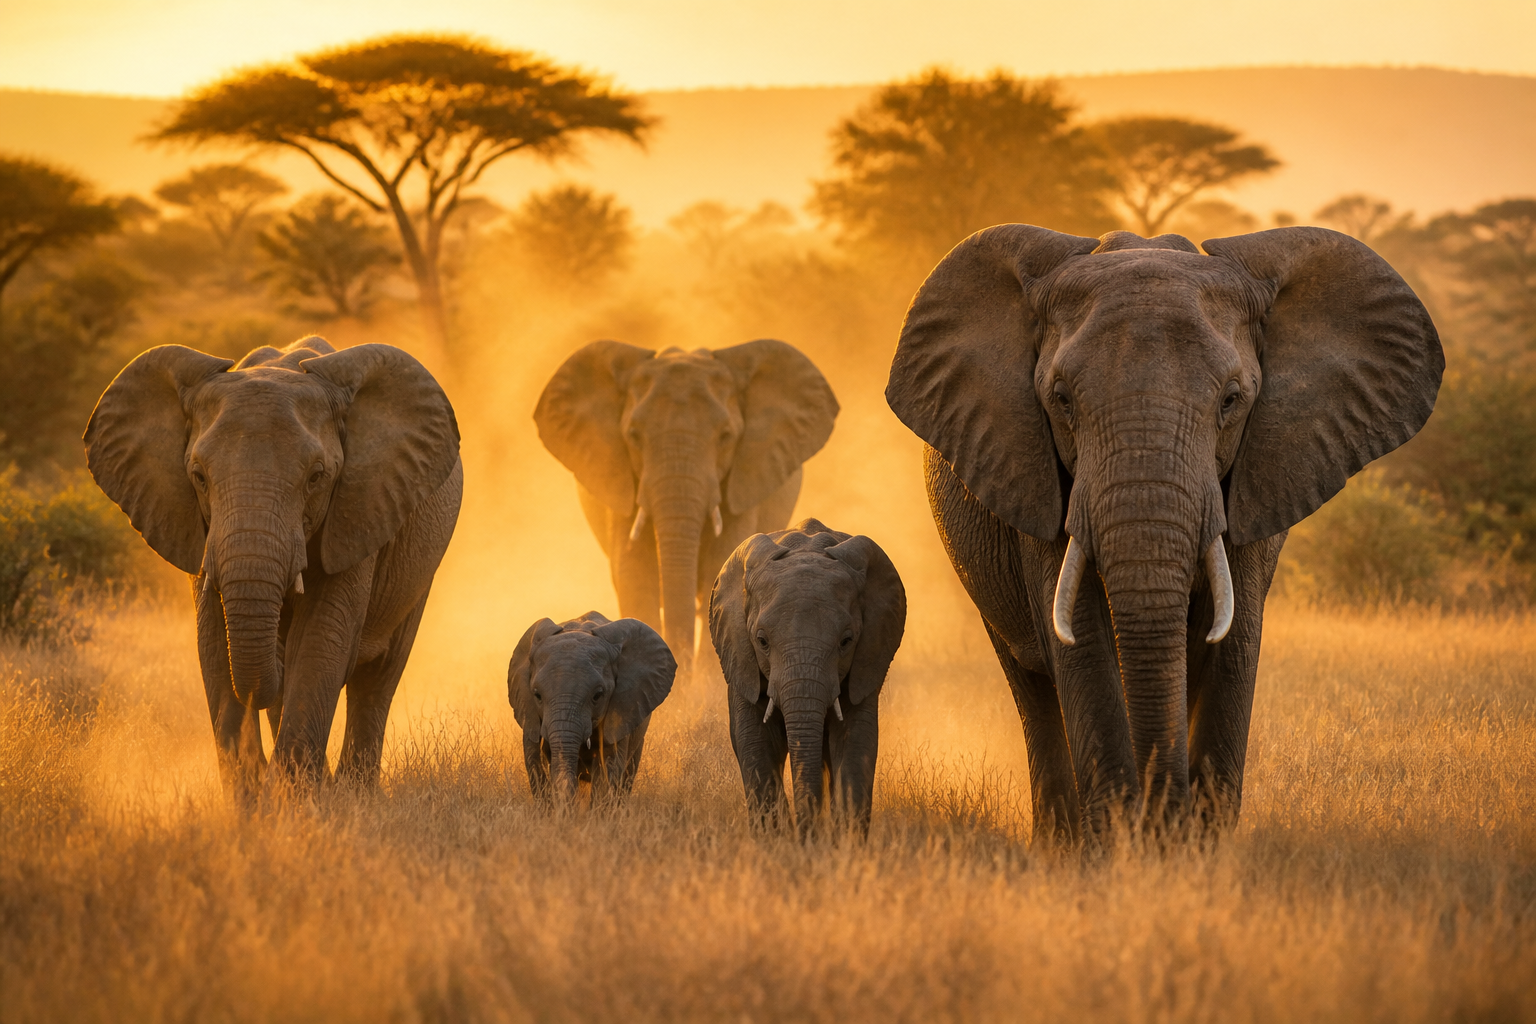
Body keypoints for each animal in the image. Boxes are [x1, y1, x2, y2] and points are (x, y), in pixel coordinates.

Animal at [84, 335, 461, 799]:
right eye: (199, 477)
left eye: (317, 477)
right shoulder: (199, 531)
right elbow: (213, 642)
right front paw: (253, 803)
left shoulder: (356, 511)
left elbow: (321, 638)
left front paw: (295, 804)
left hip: (418, 570)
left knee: (376, 678)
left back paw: (354, 794)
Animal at [709, 518, 906, 837]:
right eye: (761, 641)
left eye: (846, 641)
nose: (808, 833)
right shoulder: (740, 657)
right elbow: (753, 741)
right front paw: (775, 841)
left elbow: (857, 741)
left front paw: (845, 842)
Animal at [886, 226, 1442, 843]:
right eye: (1060, 399)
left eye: (1232, 400)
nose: (1161, 822)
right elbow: (1080, 639)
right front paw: (1121, 849)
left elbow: (1234, 636)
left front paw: (1193, 851)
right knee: (1031, 684)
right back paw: (1060, 844)